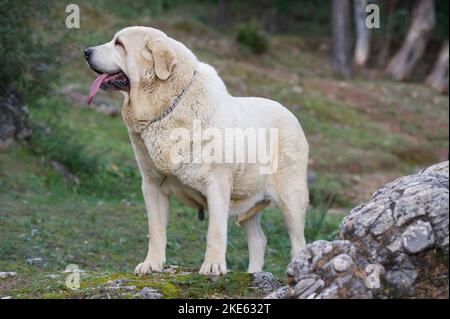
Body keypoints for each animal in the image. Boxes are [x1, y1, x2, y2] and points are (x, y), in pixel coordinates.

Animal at [84, 26, 310, 278]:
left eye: (119, 44)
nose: (86, 51)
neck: (166, 106)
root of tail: (290, 113)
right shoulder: (152, 185)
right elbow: (156, 230)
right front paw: (152, 264)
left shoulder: (217, 185)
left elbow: (215, 231)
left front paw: (213, 266)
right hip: (248, 199)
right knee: (258, 240)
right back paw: (253, 274)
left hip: (291, 198)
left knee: (298, 242)